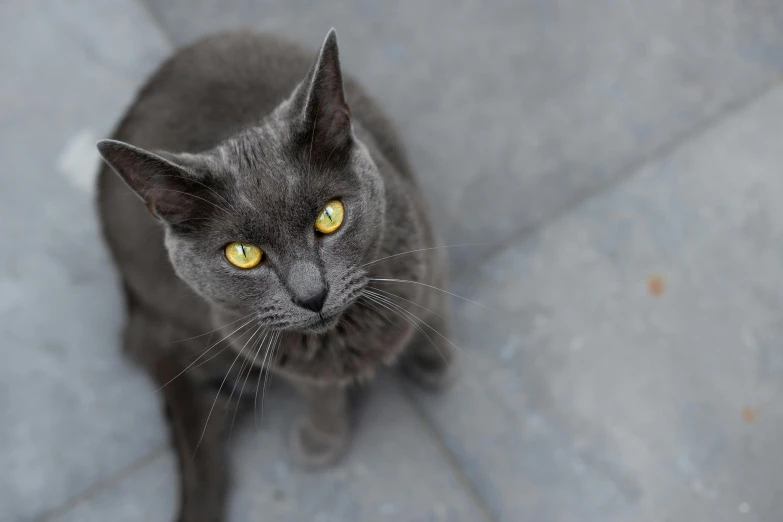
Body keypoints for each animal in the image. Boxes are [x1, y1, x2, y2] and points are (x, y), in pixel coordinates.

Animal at [95, 29, 456, 520]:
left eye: (329, 216)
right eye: (242, 254)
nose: (312, 294)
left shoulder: (423, 241)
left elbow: (432, 311)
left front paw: (435, 364)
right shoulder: (279, 358)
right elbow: (320, 395)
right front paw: (322, 441)